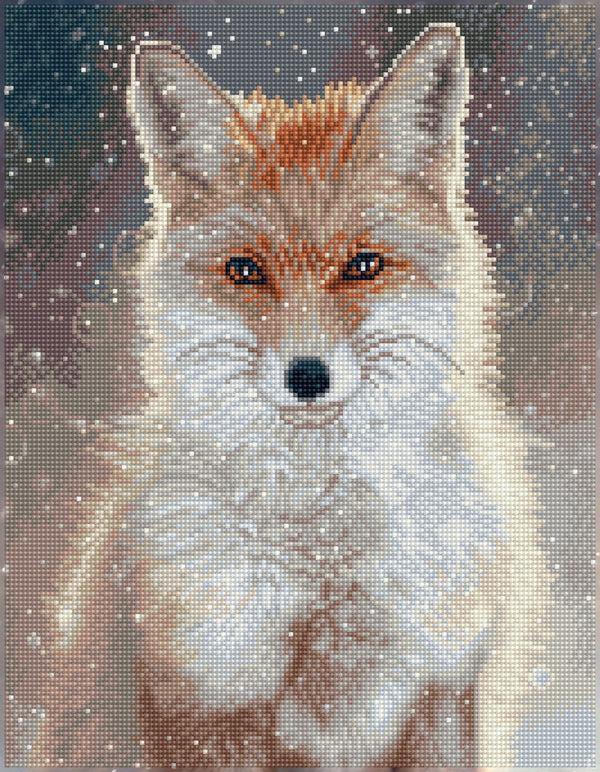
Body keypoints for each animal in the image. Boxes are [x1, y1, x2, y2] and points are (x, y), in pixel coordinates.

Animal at [10, 23, 552, 768]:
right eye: (245, 270)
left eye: (363, 265)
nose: (308, 376)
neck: (326, 559)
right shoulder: (208, 701)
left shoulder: (443, 684)